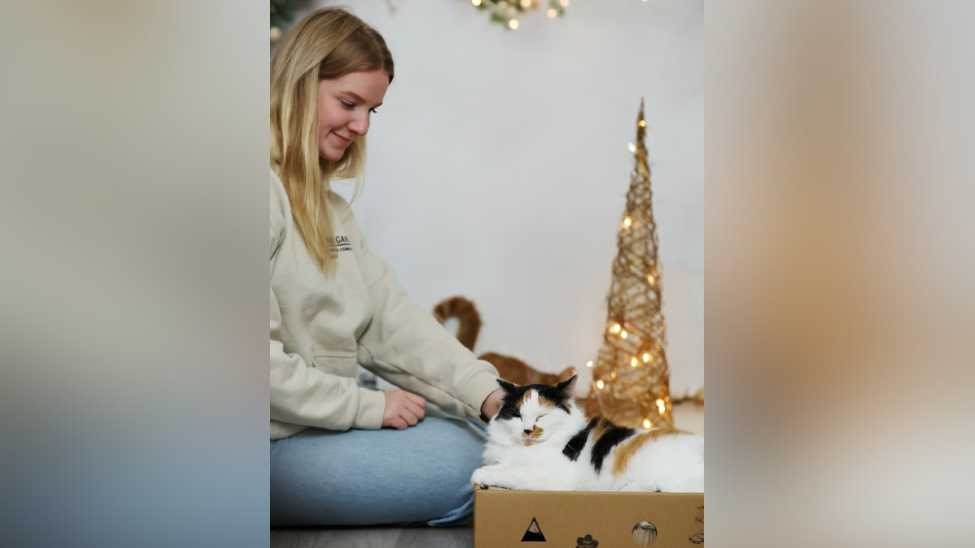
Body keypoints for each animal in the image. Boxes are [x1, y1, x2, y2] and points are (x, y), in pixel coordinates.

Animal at [470, 376, 700, 492]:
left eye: (541, 416)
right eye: (517, 415)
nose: (527, 430)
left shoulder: (554, 476)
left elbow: (510, 472)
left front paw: (481, 474)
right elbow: (502, 466)